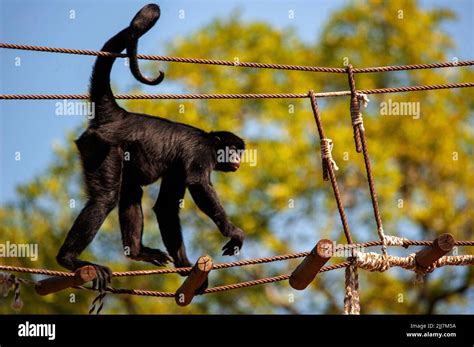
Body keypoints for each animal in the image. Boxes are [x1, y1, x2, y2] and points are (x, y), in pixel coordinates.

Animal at [56, 4, 244, 292]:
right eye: (233, 149)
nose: (237, 158)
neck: (210, 141)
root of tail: (118, 115)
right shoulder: (199, 153)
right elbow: (199, 185)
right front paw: (233, 233)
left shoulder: (178, 166)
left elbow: (165, 207)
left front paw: (185, 266)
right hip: (101, 146)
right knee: (105, 198)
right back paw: (68, 259)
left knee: (131, 190)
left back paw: (136, 252)